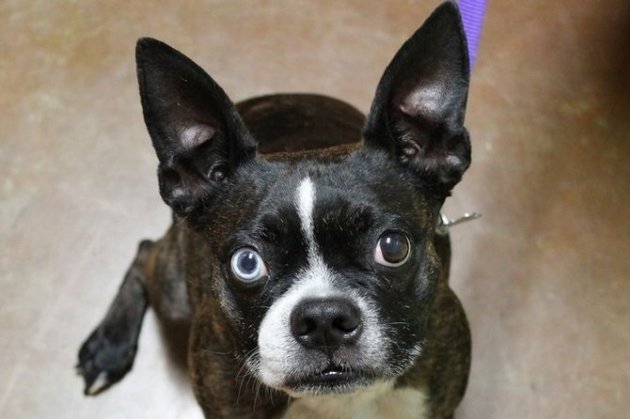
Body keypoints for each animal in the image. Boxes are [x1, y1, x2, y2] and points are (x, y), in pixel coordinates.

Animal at [78, 1, 474, 418]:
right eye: (247, 263)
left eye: (393, 247)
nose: (323, 318)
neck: (341, 400)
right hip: (175, 291)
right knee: (145, 252)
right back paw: (109, 346)